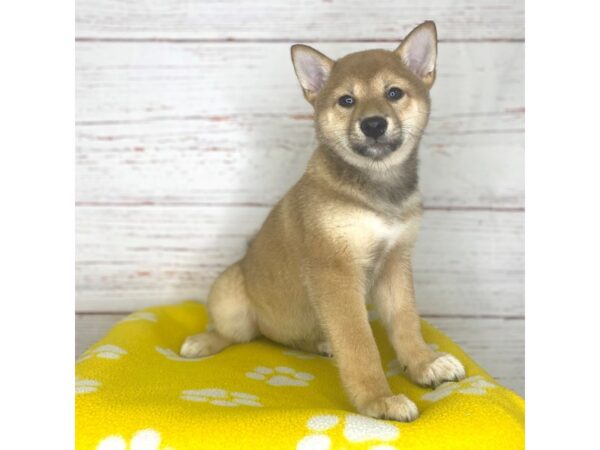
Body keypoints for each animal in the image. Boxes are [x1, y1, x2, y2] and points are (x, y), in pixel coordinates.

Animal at [180, 21, 466, 422]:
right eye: (347, 100)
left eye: (394, 93)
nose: (373, 124)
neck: (376, 190)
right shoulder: (336, 271)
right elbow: (360, 345)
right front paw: (378, 400)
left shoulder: (395, 262)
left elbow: (406, 323)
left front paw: (425, 363)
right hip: (230, 289)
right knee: (237, 333)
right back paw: (204, 341)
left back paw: (320, 341)